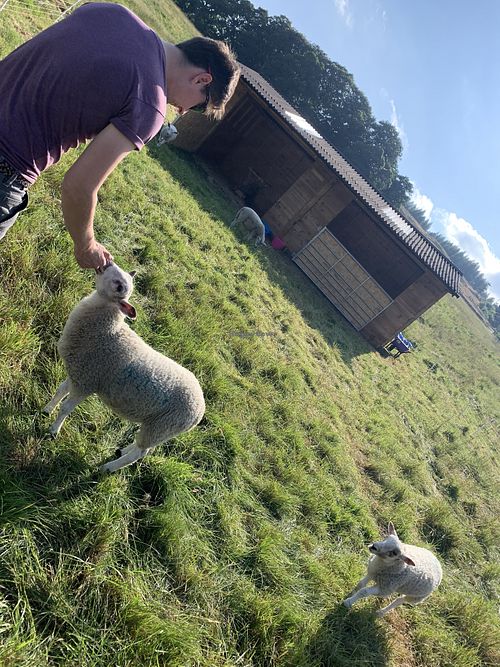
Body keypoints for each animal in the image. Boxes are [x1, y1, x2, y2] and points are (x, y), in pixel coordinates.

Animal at [43, 263, 205, 473]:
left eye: (120, 286)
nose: (106, 263)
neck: (108, 330)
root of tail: (200, 409)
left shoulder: (87, 382)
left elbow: (66, 408)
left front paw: (53, 431)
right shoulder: (78, 371)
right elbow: (60, 391)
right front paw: (46, 410)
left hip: (163, 425)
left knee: (141, 453)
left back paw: (108, 468)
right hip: (157, 427)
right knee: (143, 446)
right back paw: (122, 450)